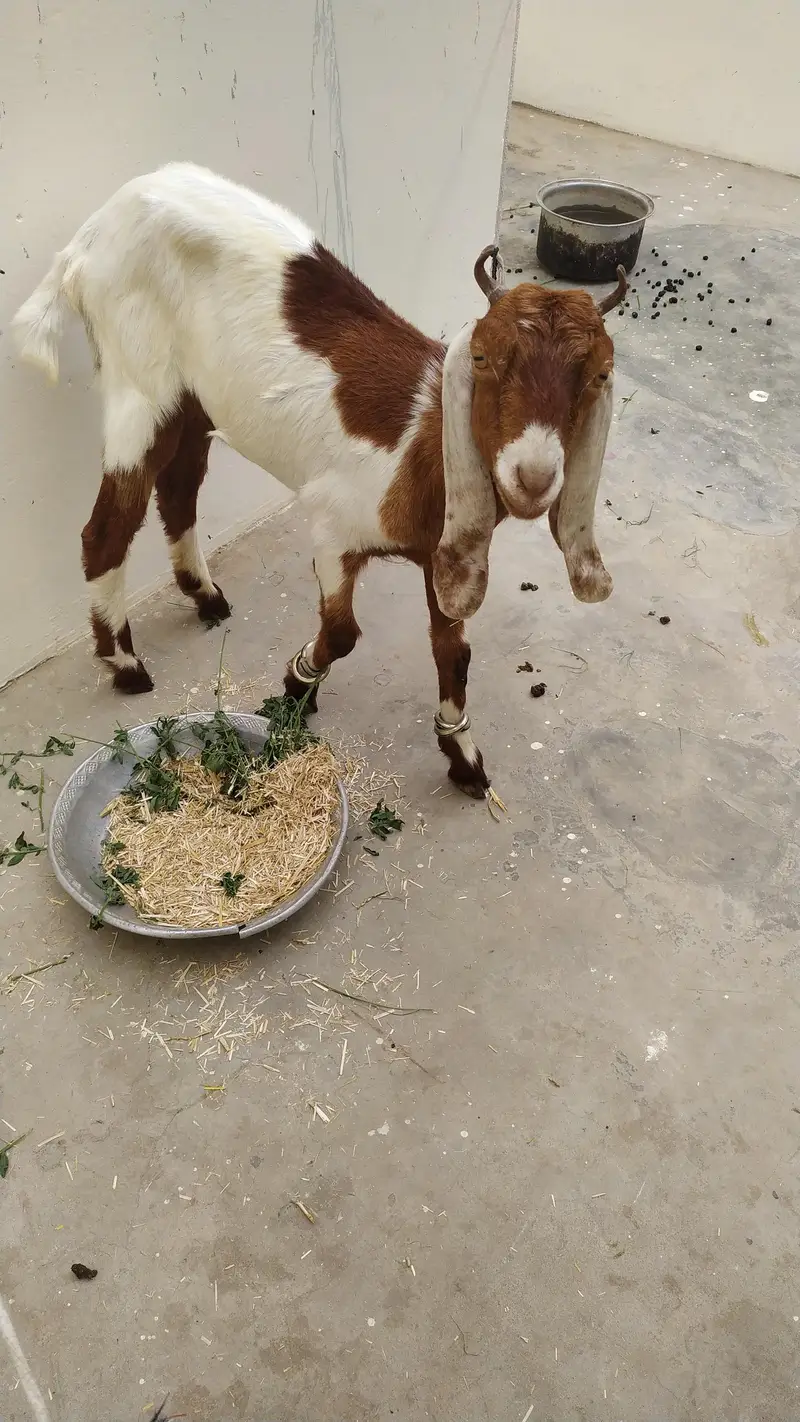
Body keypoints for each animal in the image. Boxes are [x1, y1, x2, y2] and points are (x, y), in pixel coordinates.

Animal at [13, 163, 625, 798]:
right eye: (482, 358)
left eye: (598, 375)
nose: (533, 475)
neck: (424, 443)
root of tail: (90, 234)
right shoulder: (335, 530)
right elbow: (344, 631)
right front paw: (295, 687)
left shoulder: (444, 554)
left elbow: (453, 655)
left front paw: (463, 756)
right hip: (139, 381)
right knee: (106, 529)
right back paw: (126, 665)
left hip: (194, 400)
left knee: (178, 491)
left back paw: (204, 596)